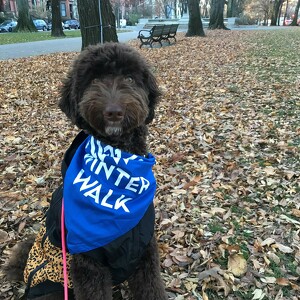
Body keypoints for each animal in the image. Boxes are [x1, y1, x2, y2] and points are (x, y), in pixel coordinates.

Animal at [4, 42, 168, 300]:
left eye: (130, 78)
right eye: (94, 80)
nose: (113, 111)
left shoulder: (145, 248)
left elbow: (150, 287)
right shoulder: (88, 264)